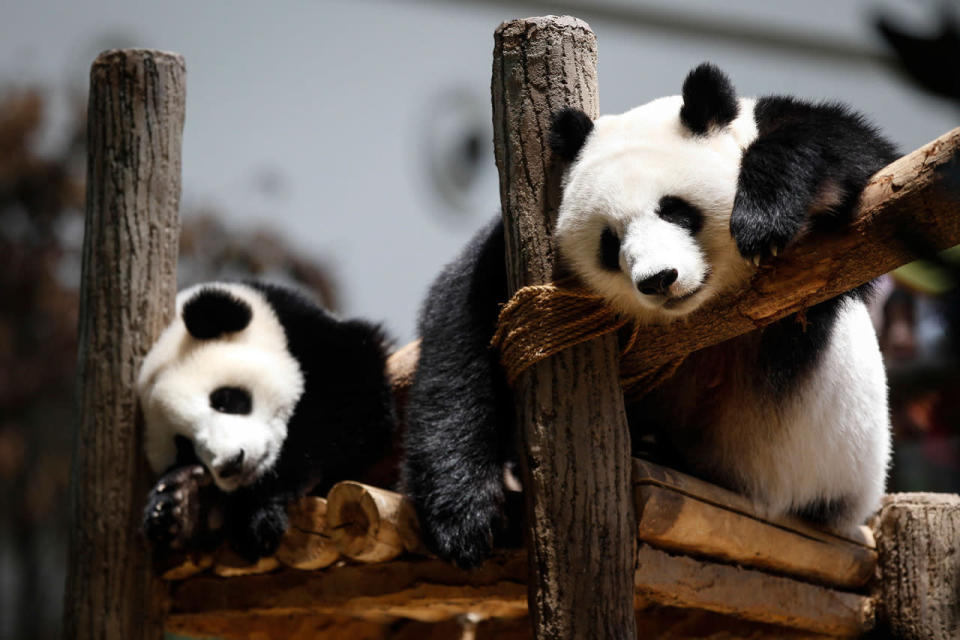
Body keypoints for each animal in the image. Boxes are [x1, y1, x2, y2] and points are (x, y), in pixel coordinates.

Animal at [137, 282, 396, 556]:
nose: (231, 463)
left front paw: (257, 513)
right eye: (184, 447)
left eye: (224, 400)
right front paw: (185, 503)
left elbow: (347, 401)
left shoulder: (320, 339)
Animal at [402, 62, 896, 568]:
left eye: (675, 211)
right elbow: (462, 332)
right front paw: (463, 518)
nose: (659, 279)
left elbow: (850, 152)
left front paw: (764, 219)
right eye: (609, 241)